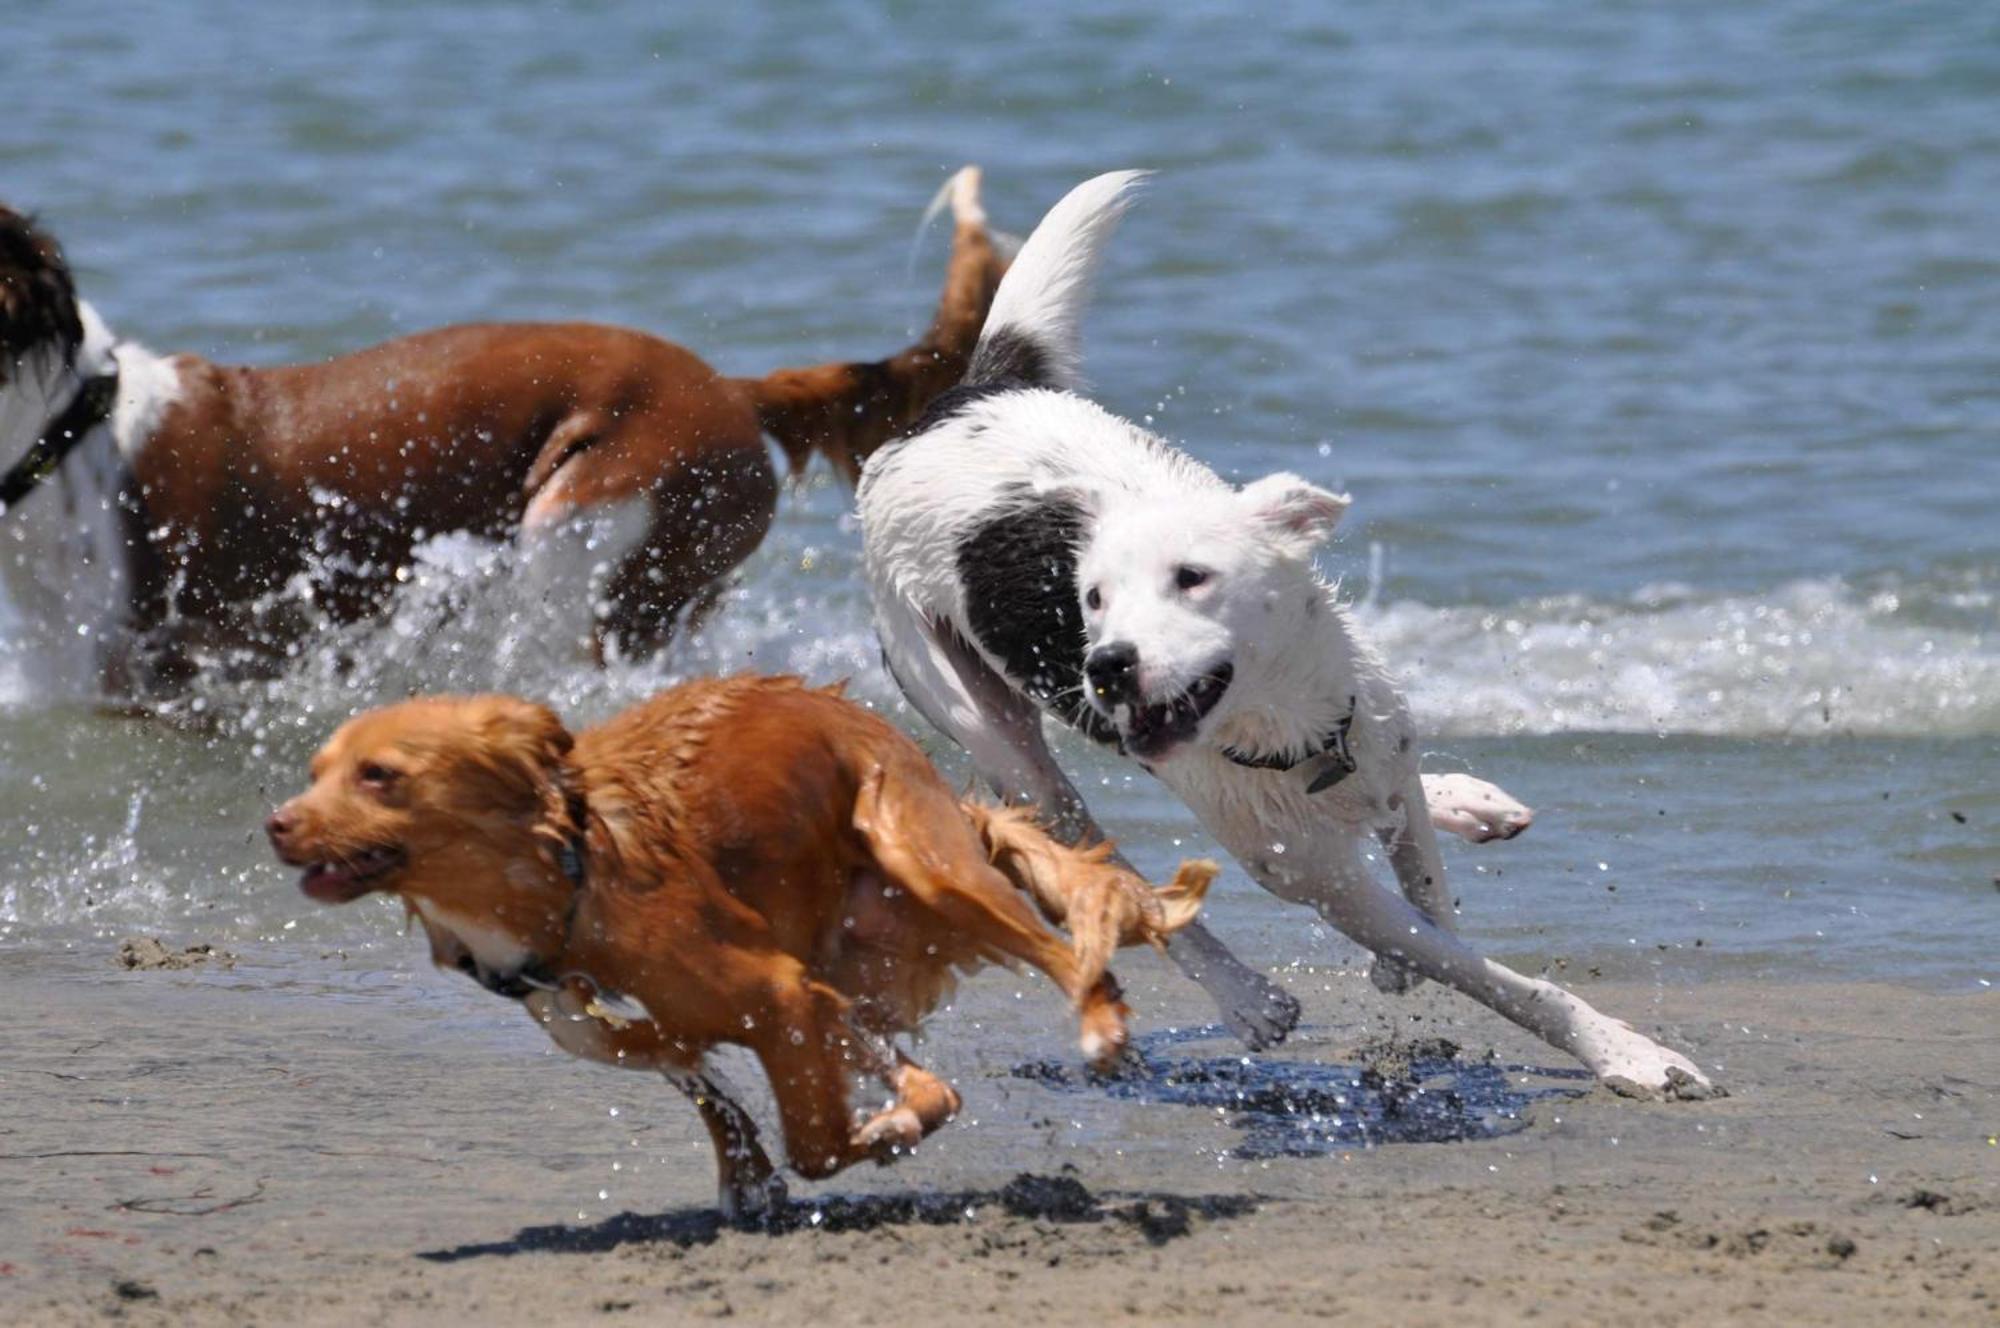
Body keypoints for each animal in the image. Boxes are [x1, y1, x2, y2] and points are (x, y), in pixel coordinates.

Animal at [268, 680, 1216, 1216]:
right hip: (847, 962)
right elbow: (712, 1093)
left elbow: (817, 1145)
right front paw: (749, 1177)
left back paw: (1099, 1024)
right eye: (314, 773)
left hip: (924, 857)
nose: (274, 823)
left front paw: (862, 1144)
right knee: (923, 1074)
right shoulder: (646, 1028)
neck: (568, 877)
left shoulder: (777, 992)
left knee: (1064, 954)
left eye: (379, 776)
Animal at [852, 171, 1712, 1096]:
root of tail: (954, 403)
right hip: (986, 728)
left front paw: (1416, 937)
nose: (1107, 666)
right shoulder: (1326, 885)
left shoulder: (1375, 755)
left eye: (1192, 577)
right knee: (1102, 863)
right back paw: (1244, 996)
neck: (1297, 737)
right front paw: (1627, 1053)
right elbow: (1484, 971)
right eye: (1092, 600)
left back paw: (1467, 802)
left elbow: (1431, 895)